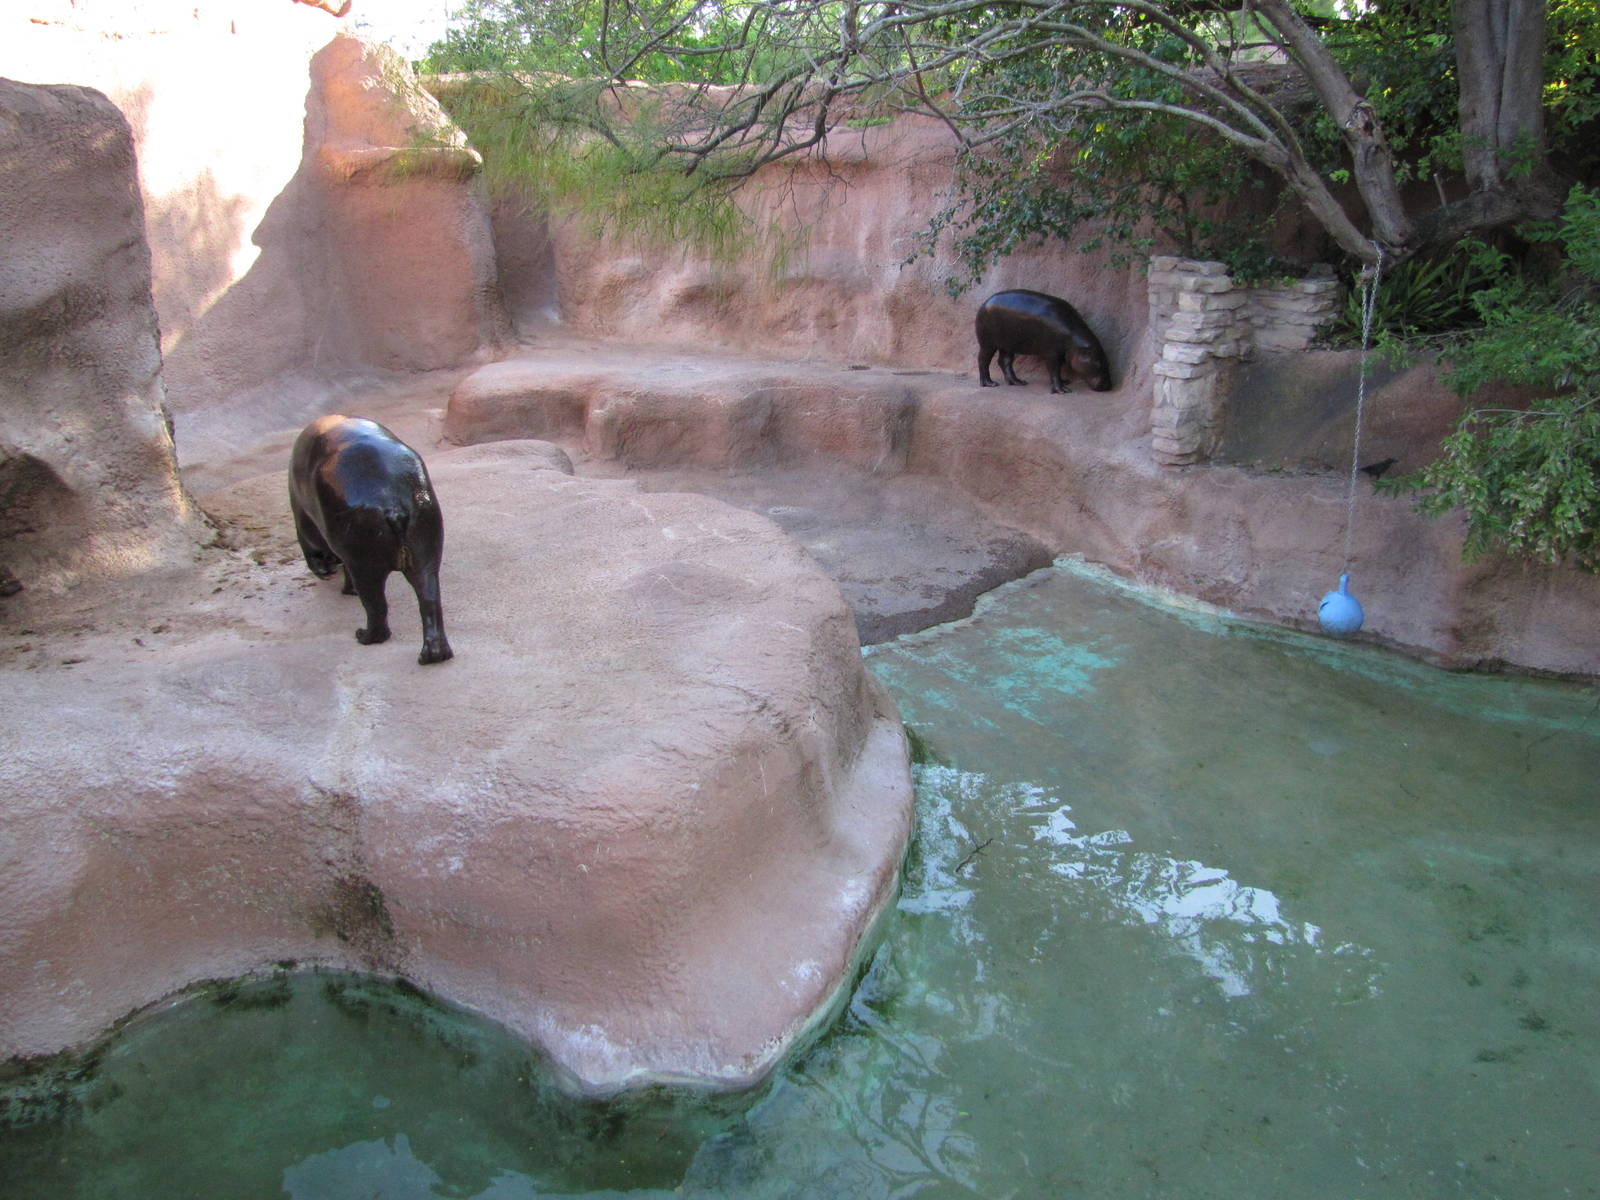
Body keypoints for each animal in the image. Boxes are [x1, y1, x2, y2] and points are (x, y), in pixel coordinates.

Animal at [288, 415, 453, 665]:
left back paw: (362, 635)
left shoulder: (305, 521)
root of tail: (391, 502)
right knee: (430, 600)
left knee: (376, 607)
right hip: (425, 550)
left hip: (364, 563)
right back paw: (433, 655)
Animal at [976, 289, 1114, 394]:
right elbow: (1054, 369)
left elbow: (1058, 369)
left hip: (1008, 344)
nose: (1108, 386)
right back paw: (990, 383)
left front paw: (1065, 381)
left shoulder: (1061, 353)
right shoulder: (1052, 352)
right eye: (1098, 363)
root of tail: (984, 303)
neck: (1073, 338)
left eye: (1107, 361)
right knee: (983, 360)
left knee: (1005, 361)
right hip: (988, 343)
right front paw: (1062, 390)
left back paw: (1018, 382)